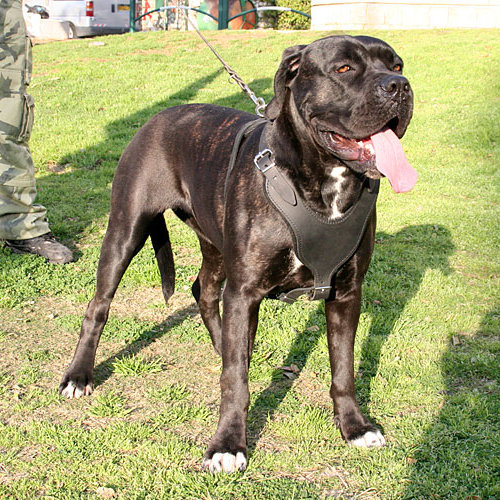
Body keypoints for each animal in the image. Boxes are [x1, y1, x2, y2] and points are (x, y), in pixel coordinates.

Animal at [60, 35, 416, 472]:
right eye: (344, 69)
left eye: (396, 65)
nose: (398, 87)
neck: (323, 181)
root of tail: (158, 117)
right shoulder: (245, 291)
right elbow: (234, 383)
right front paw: (228, 444)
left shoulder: (346, 293)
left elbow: (344, 369)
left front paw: (354, 426)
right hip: (126, 231)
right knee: (99, 306)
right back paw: (78, 376)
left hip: (213, 244)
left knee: (204, 290)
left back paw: (226, 344)